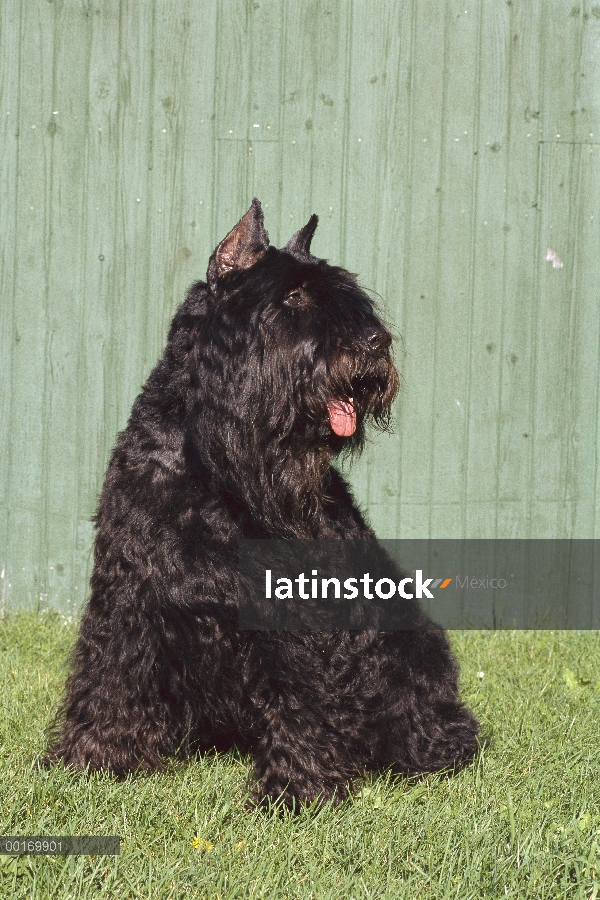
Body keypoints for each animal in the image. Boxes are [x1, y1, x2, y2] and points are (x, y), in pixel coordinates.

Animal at [44, 200, 480, 804]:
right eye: (293, 298)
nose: (375, 342)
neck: (210, 472)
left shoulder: (291, 609)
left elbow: (302, 695)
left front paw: (297, 791)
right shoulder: (127, 589)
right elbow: (110, 674)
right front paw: (93, 760)